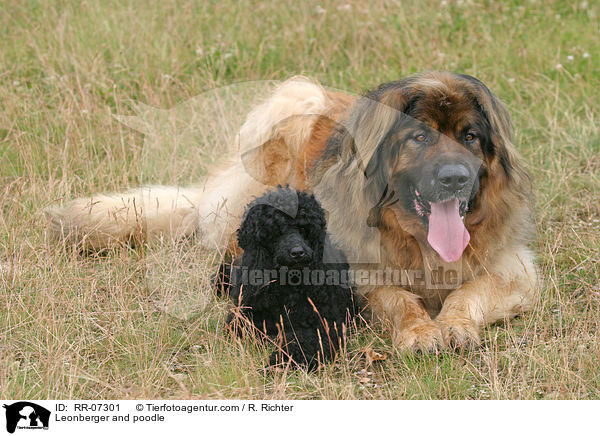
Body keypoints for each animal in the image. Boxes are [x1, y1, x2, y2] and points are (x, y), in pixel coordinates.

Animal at [47, 70, 540, 350]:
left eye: (470, 137)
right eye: (419, 138)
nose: (455, 178)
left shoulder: (514, 271)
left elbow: (467, 293)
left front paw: (453, 324)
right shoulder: (359, 275)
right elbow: (400, 300)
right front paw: (420, 330)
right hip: (291, 104)